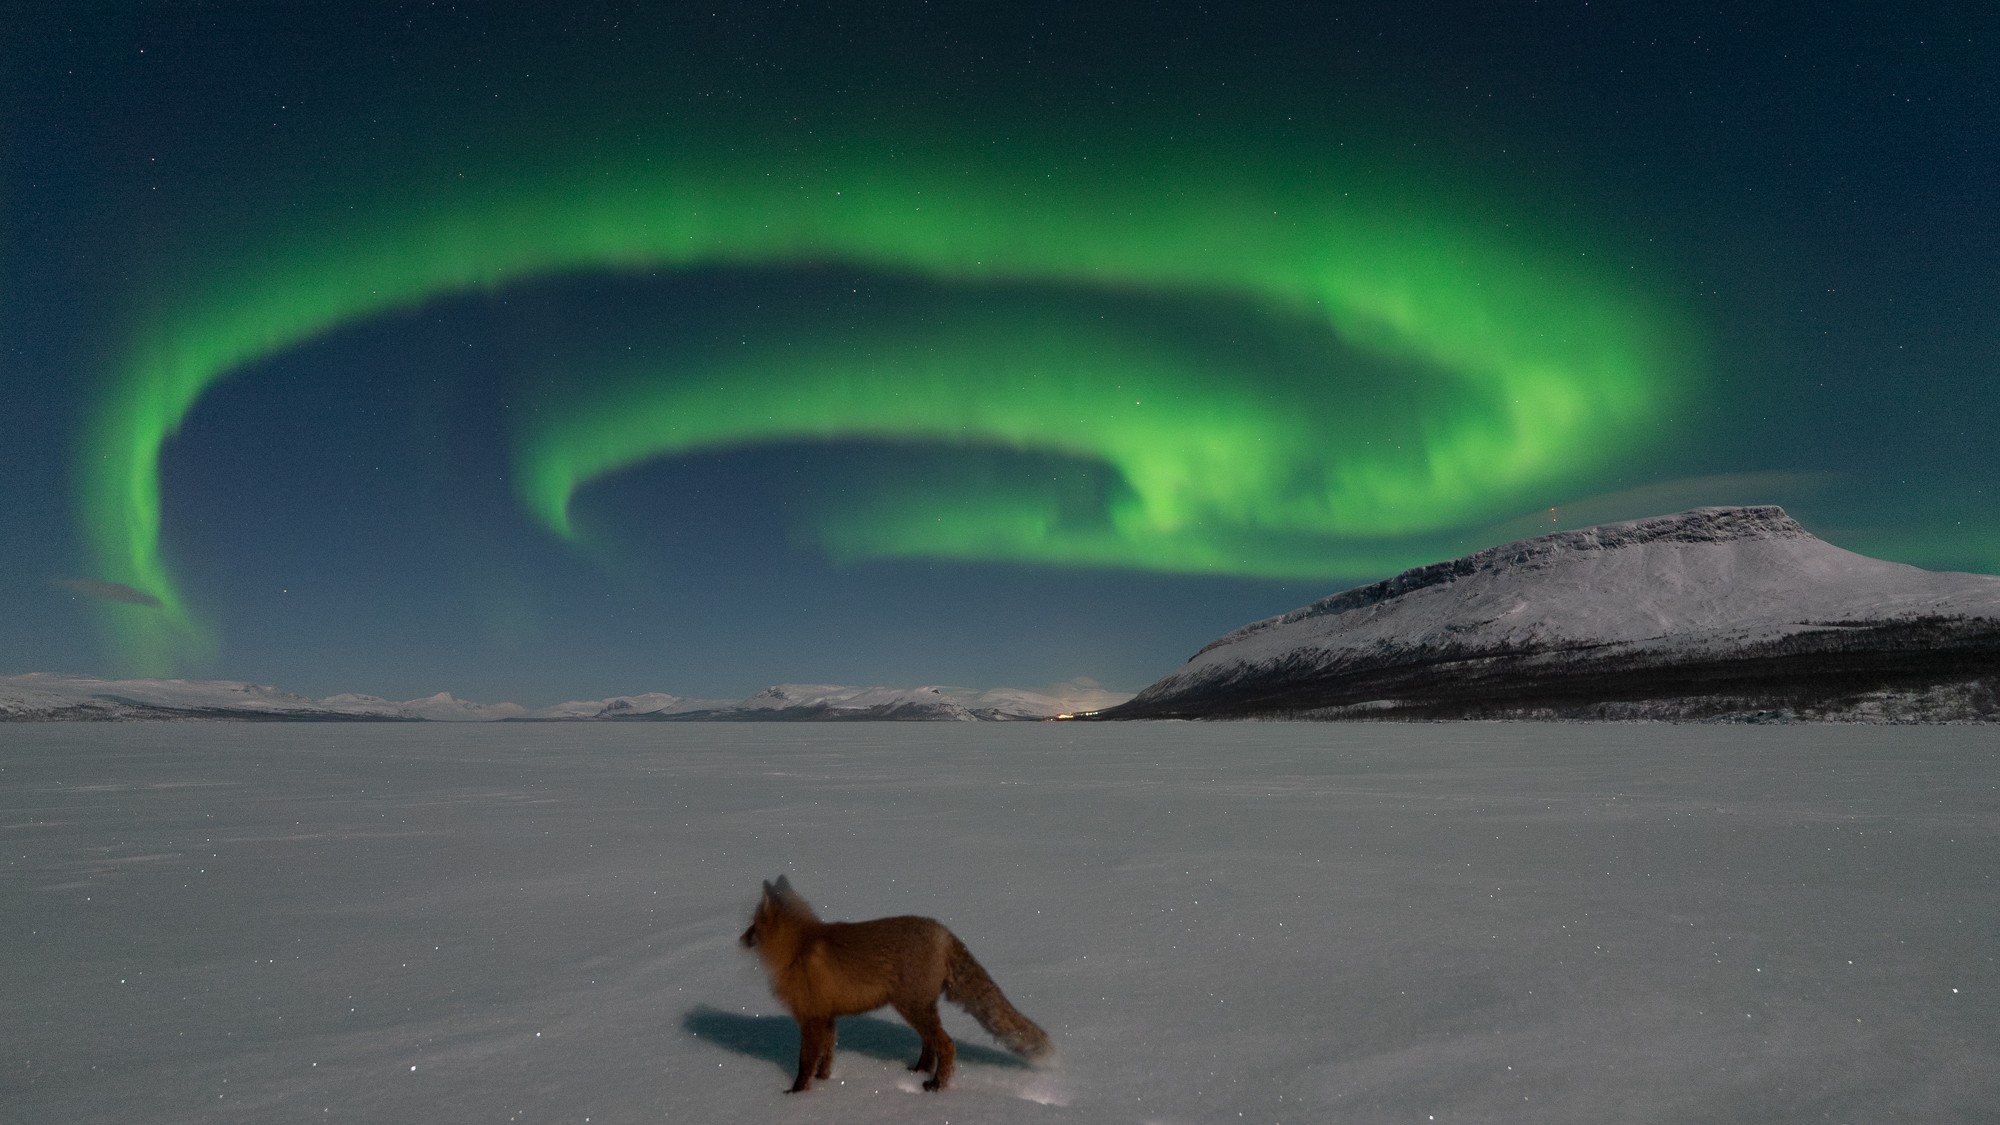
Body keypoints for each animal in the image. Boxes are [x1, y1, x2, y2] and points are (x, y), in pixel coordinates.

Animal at [738, 875, 1053, 1092]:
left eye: (754, 923)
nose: (740, 939)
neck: (797, 948)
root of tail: (943, 931)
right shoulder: (827, 1017)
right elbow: (826, 1057)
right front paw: (824, 1082)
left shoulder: (812, 1019)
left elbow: (805, 1062)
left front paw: (797, 1093)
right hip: (915, 1009)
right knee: (930, 1044)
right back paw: (918, 1072)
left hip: (912, 1007)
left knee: (946, 1044)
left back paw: (937, 1086)